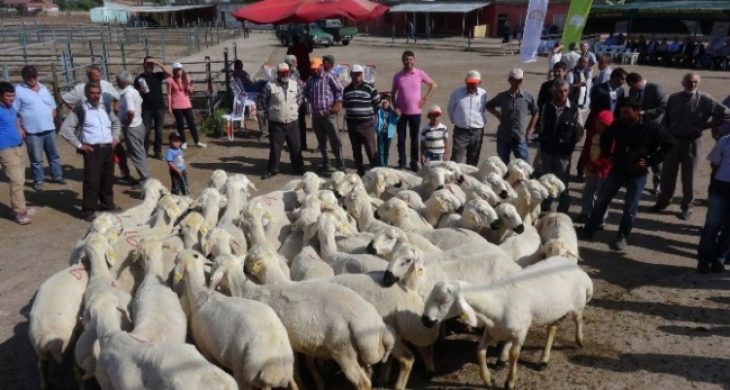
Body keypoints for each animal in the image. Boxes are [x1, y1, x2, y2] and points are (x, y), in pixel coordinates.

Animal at [210, 250, 392, 390]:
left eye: (250, 259)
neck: (248, 290)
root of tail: (371, 322)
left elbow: (295, 370)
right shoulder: (297, 344)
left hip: (342, 349)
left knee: (361, 382)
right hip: (363, 349)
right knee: (368, 375)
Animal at [420, 256, 592, 390]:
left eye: (445, 300)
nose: (425, 320)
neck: (495, 302)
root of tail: (577, 269)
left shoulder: (520, 332)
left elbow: (514, 355)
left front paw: (510, 382)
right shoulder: (491, 330)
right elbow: (479, 351)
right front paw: (488, 380)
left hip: (577, 304)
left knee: (577, 319)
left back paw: (580, 340)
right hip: (554, 310)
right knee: (552, 329)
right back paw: (544, 360)